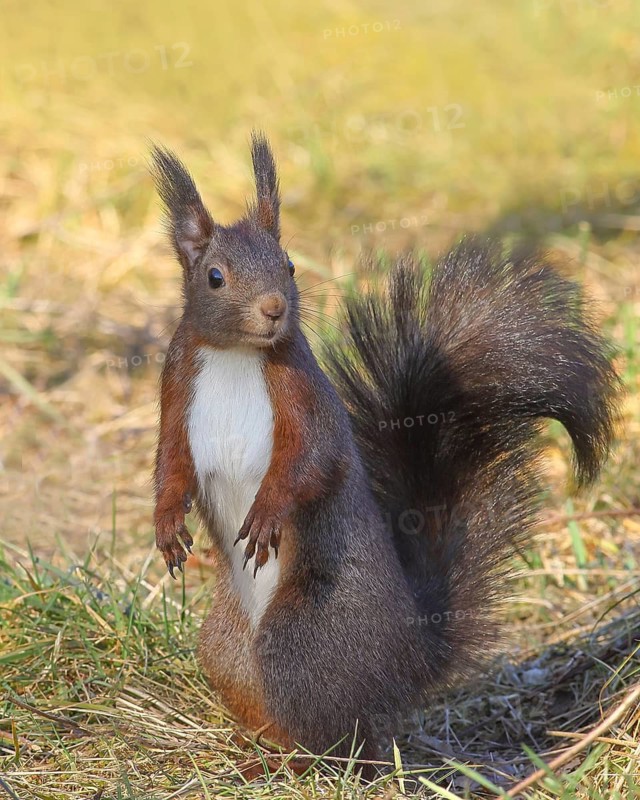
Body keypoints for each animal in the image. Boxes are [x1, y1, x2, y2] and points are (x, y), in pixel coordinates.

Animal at [150, 133, 621, 769]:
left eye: (289, 265)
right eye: (215, 277)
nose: (274, 307)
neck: (234, 355)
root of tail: (411, 658)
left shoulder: (306, 403)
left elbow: (310, 465)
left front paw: (268, 511)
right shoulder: (177, 395)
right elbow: (170, 466)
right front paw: (166, 524)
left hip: (304, 638)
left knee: (348, 737)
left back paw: (298, 764)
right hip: (226, 649)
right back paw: (258, 750)